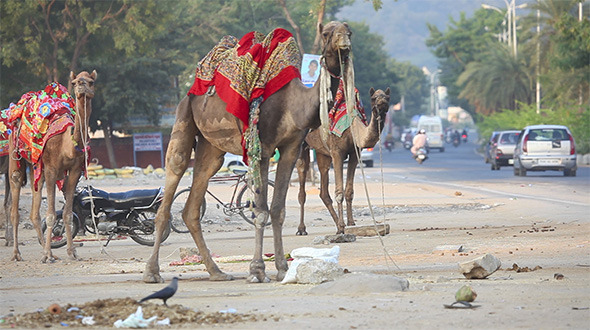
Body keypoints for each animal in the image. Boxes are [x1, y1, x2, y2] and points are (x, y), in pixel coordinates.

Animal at [5, 71, 96, 262]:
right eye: (74, 82)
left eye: (91, 82)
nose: (81, 86)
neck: (68, 145)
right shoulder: (52, 169)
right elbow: (52, 215)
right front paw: (47, 255)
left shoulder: (75, 171)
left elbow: (68, 214)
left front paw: (71, 252)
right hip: (15, 154)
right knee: (15, 203)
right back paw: (17, 253)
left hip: (36, 167)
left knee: (34, 208)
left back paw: (48, 250)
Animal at [145, 21, 356, 284]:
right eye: (327, 33)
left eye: (349, 31)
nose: (344, 42)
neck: (293, 104)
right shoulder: (262, 148)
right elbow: (261, 211)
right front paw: (257, 270)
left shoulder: (291, 148)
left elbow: (278, 210)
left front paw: (282, 269)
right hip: (184, 115)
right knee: (175, 170)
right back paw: (152, 273)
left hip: (211, 147)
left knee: (195, 198)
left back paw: (216, 272)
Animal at [296, 86, 394, 233]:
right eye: (373, 98)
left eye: (387, 97)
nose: (382, 103)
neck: (352, 129)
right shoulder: (337, 153)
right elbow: (339, 191)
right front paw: (342, 226)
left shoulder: (355, 154)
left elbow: (349, 191)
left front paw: (351, 223)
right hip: (302, 144)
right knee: (302, 176)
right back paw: (302, 229)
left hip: (322, 152)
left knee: (323, 186)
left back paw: (336, 223)